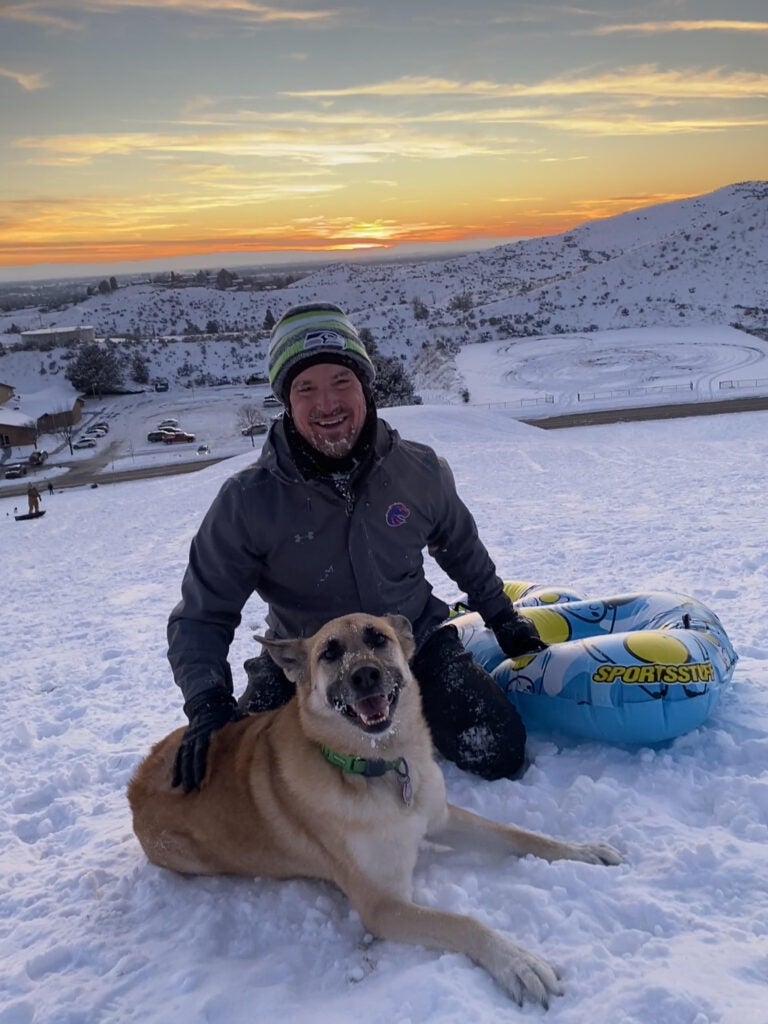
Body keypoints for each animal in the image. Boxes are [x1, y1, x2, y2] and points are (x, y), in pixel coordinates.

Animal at [124, 610, 618, 1003]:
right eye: (329, 652)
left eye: (377, 638)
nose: (365, 675)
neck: (379, 765)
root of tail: (135, 784)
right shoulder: (383, 905)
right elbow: (464, 922)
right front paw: (518, 963)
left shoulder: (439, 818)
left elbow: (521, 834)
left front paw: (583, 851)